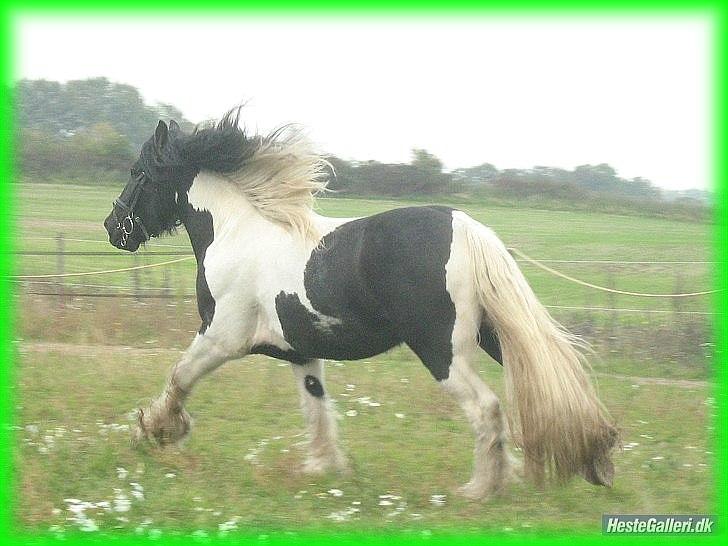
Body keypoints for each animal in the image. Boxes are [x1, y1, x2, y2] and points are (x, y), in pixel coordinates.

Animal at [101, 109, 616, 498]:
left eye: (137, 173)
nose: (113, 228)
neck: (233, 232)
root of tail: (469, 230)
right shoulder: (301, 354)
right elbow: (316, 408)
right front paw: (322, 469)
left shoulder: (221, 337)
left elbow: (179, 377)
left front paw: (155, 430)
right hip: (492, 339)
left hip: (442, 353)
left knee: (487, 409)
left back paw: (478, 490)